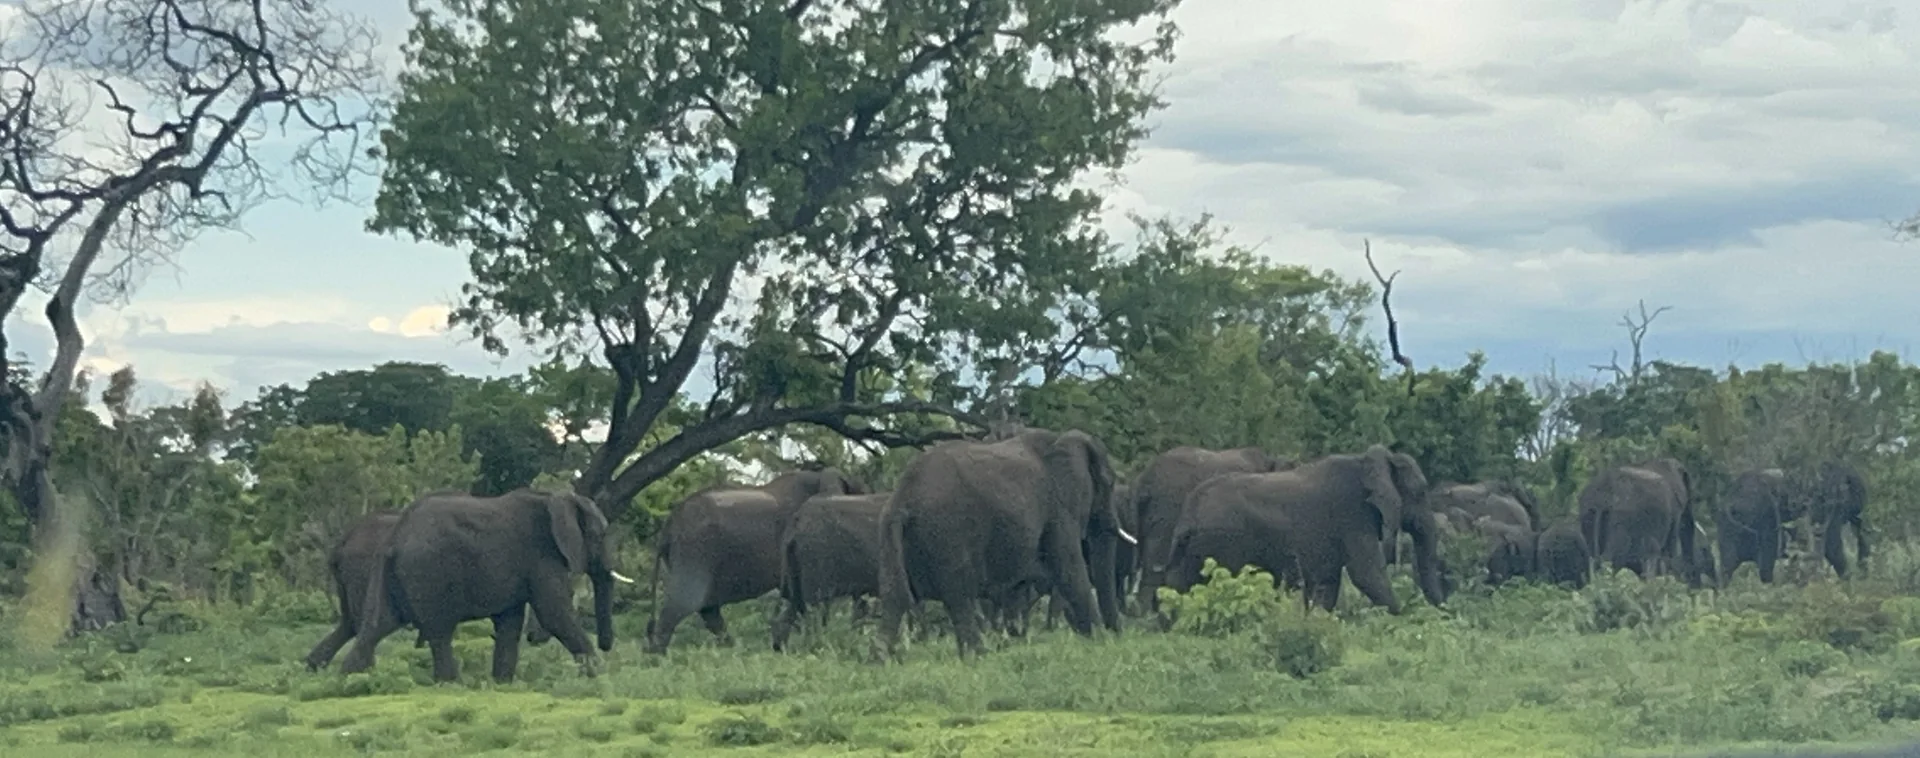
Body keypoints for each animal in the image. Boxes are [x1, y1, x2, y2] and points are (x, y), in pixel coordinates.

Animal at [337, 489, 632, 682]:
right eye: (599, 536)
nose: (607, 645)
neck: (557, 498)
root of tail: (395, 536)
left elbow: (510, 623)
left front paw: (502, 685)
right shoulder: (541, 556)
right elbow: (554, 614)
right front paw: (599, 677)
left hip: (394, 572)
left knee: (377, 625)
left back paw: (346, 682)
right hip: (429, 572)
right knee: (439, 631)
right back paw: (451, 685)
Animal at [645, 467, 866, 653]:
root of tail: (668, 525)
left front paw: (781, 647)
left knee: (708, 610)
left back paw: (732, 650)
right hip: (694, 550)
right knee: (684, 602)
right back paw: (657, 657)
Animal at [875, 428, 1127, 659]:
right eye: (1109, 482)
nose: (1118, 633)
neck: (1062, 439)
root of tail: (903, 498)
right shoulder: (1058, 509)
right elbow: (1071, 571)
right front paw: (1101, 641)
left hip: (892, 534)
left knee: (895, 595)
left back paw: (880, 660)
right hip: (947, 533)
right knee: (959, 595)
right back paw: (978, 655)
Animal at [1161, 444, 1448, 615]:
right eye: (1421, 492)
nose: (1443, 613)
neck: (1371, 461)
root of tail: (1190, 511)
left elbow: (1328, 583)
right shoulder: (1352, 516)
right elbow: (1367, 575)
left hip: (1194, 546)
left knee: (1175, 583)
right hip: (1224, 541)